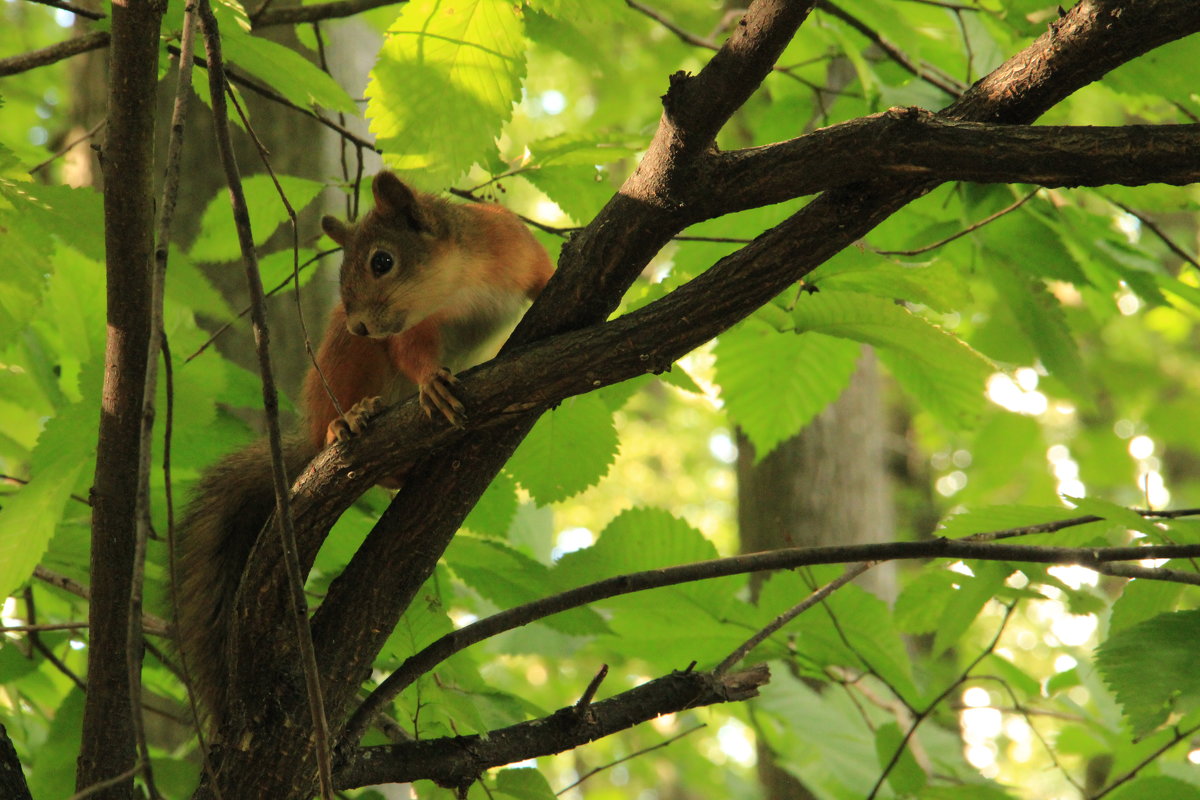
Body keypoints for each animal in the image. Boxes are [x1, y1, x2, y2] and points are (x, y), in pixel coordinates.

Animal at [172, 172, 552, 729]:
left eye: (381, 261)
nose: (360, 324)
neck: (459, 285)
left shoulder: (513, 245)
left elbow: (545, 275)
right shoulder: (411, 330)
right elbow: (411, 353)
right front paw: (431, 383)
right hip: (342, 364)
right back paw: (348, 425)